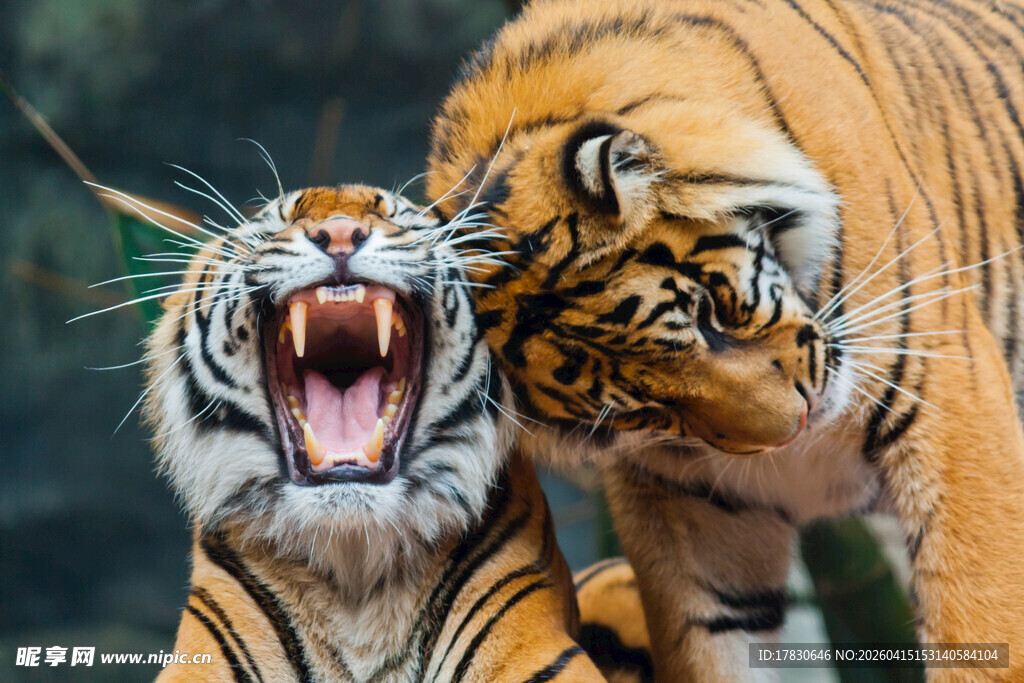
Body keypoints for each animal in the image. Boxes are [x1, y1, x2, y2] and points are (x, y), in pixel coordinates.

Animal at [424, 0, 1024, 679]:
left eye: (706, 312)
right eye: (643, 408)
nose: (794, 429)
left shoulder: (950, 394)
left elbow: (981, 619)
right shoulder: (690, 507)